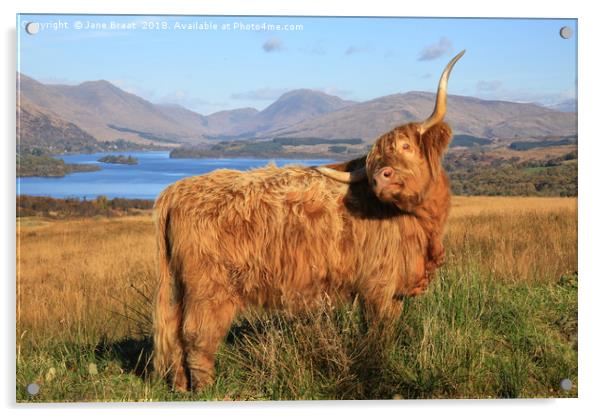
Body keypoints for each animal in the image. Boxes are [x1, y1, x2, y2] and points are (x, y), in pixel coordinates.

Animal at [152, 51, 462, 390]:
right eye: (374, 160)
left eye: (406, 146)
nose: (381, 176)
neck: (420, 224)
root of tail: (178, 189)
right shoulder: (377, 285)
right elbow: (376, 334)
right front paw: (376, 371)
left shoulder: (393, 290)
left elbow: (386, 330)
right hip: (210, 287)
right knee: (197, 335)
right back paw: (208, 390)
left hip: (183, 285)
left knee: (174, 331)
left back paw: (180, 386)